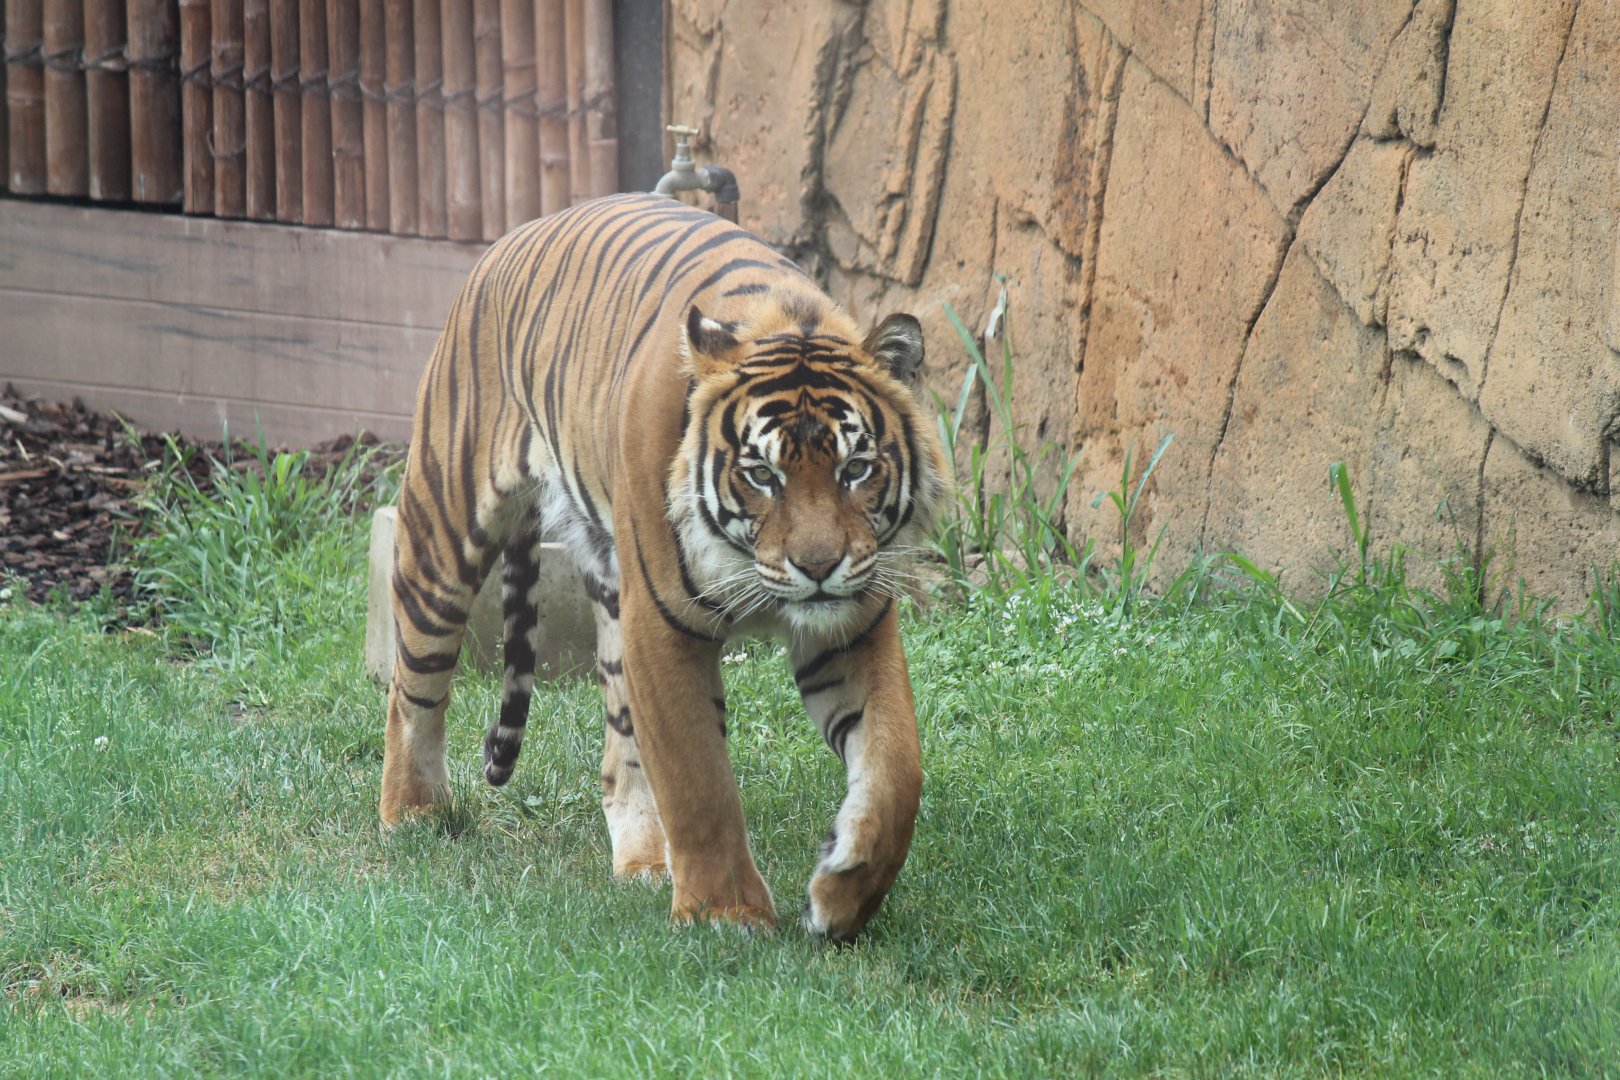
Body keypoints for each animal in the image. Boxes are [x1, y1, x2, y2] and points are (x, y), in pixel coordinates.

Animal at [379, 192, 948, 941]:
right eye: (762, 474)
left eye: (855, 469)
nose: (818, 567)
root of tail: (520, 230)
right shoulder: (662, 626)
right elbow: (697, 778)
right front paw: (726, 914)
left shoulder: (852, 625)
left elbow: (896, 769)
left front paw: (843, 891)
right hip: (443, 530)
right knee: (412, 686)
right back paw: (412, 815)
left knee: (621, 752)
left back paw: (646, 863)